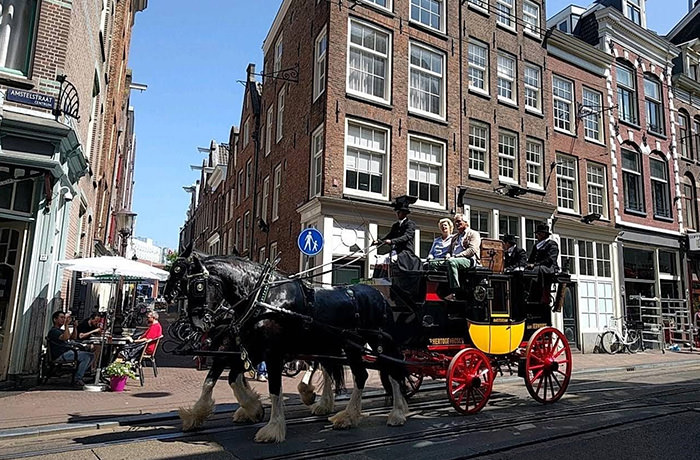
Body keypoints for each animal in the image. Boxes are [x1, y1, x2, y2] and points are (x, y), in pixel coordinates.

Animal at [163, 248, 410, 446]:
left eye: (196, 285)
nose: (196, 322)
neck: (263, 298)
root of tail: (378, 294)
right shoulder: (249, 350)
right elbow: (228, 380)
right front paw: (249, 409)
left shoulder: (270, 353)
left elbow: (273, 388)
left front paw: (272, 428)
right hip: (347, 347)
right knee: (356, 374)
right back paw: (341, 413)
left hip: (377, 343)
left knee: (389, 372)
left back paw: (393, 414)